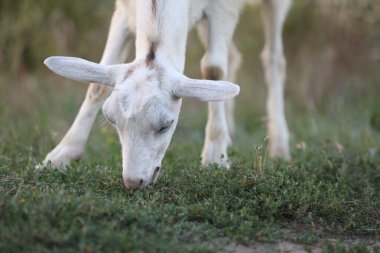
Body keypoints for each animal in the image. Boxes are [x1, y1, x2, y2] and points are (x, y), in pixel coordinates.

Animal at [40, 0, 290, 189]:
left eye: (165, 125)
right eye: (111, 119)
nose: (133, 182)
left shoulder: (224, 8)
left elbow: (213, 69)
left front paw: (215, 157)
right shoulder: (123, 10)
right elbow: (97, 84)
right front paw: (59, 156)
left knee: (273, 59)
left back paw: (279, 146)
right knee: (234, 56)